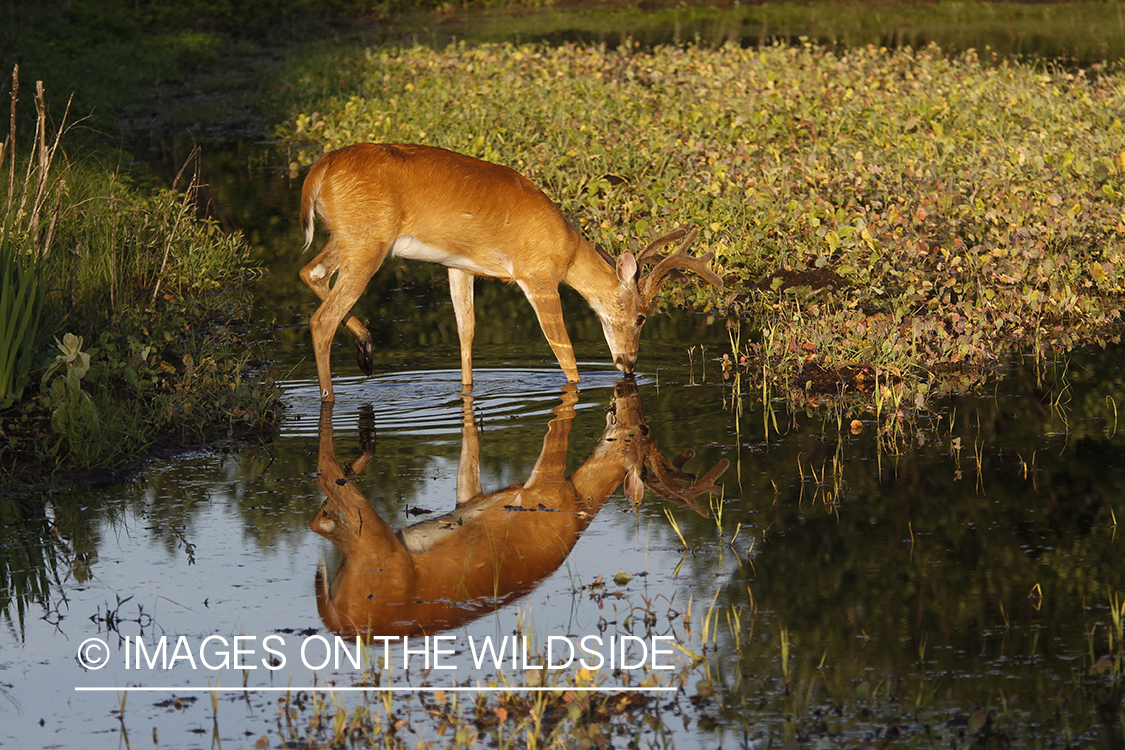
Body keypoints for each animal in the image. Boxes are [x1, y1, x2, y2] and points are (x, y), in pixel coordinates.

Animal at [299, 143, 720, 402]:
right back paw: (330, 396)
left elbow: (466, 332)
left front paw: (467, 390)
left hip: (348, 238)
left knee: (310, 271)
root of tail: (318, 171)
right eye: (641, 316)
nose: (629, 364)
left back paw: (366, 349)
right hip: (368, 242)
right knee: (321, 320)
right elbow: (564, 351)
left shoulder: (458, 265)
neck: (569, 251)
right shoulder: (538, 276)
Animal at [310, 377, 729, 638]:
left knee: (321, 518)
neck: (575, 503)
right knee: (325, 493)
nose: (629, 407)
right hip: (375, 548)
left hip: (363, 549)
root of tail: (337, 622)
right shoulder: (542, 485)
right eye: (642, 432)